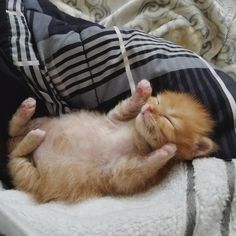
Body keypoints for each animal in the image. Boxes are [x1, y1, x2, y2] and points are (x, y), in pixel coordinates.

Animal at [7, 79, 217, 203]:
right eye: (156, 101)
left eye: (168, 120)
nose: (149, 108)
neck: (136, 135)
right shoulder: (114, 118)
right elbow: (127, 106)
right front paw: (142, 92)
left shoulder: (120, 173)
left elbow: (144, 165)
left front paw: (166, 151)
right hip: (43, 123)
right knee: (13, 131)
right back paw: (26, 113)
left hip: (29, 176)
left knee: (16, 154)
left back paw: (33, 137)